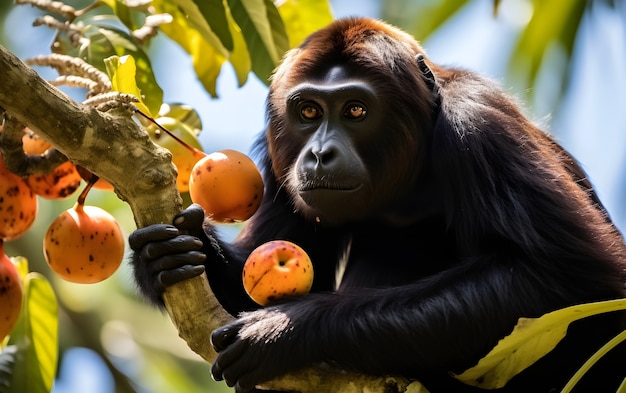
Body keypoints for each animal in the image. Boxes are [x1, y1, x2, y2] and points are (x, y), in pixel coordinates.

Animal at [128, 17, 624, 392]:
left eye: (355, 110)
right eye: (309, 112)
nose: (319, 153)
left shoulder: (479, 125)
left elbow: (573, 277)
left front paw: (288, 329)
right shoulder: (275, 155)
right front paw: (171, 252)